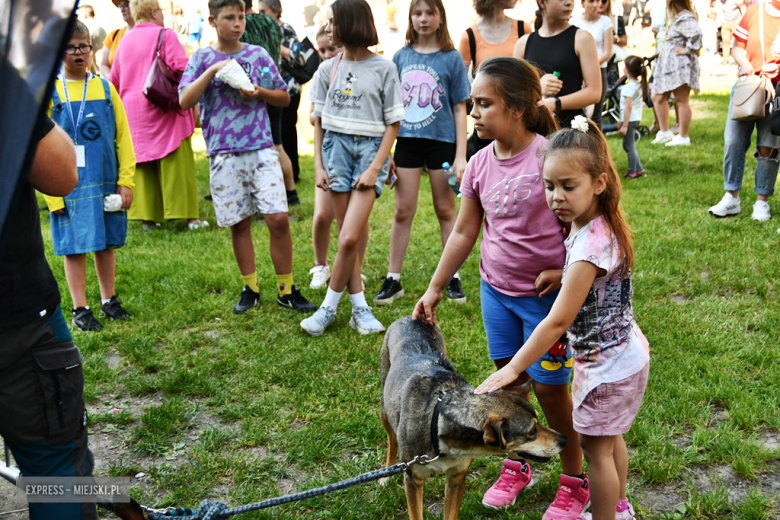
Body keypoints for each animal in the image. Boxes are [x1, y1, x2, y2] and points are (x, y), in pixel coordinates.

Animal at [380, 316, 568, 520]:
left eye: (539, 420)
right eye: (531, 431)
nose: (564, 439)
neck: (437, 423)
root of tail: (411, 318)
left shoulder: (457, 478)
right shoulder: (413, 481)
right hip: (385, 409)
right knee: (391, 439)